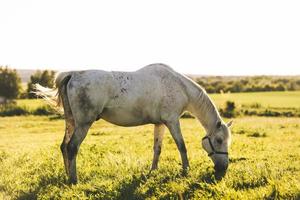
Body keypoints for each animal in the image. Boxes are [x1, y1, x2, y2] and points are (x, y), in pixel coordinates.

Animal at [34, 63, 232, 184]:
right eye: (219, 140)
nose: (223, 169)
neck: (179, 86)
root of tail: (72, 74)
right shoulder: (172, 121)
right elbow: (181, 146)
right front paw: (186, 170)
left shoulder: (160, 124)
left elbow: (157, 149)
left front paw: (153, 171)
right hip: (83, 124)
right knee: (72, 147)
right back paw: (74, 180)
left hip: (72, 122)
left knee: (64, 146)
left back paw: (68, 176)